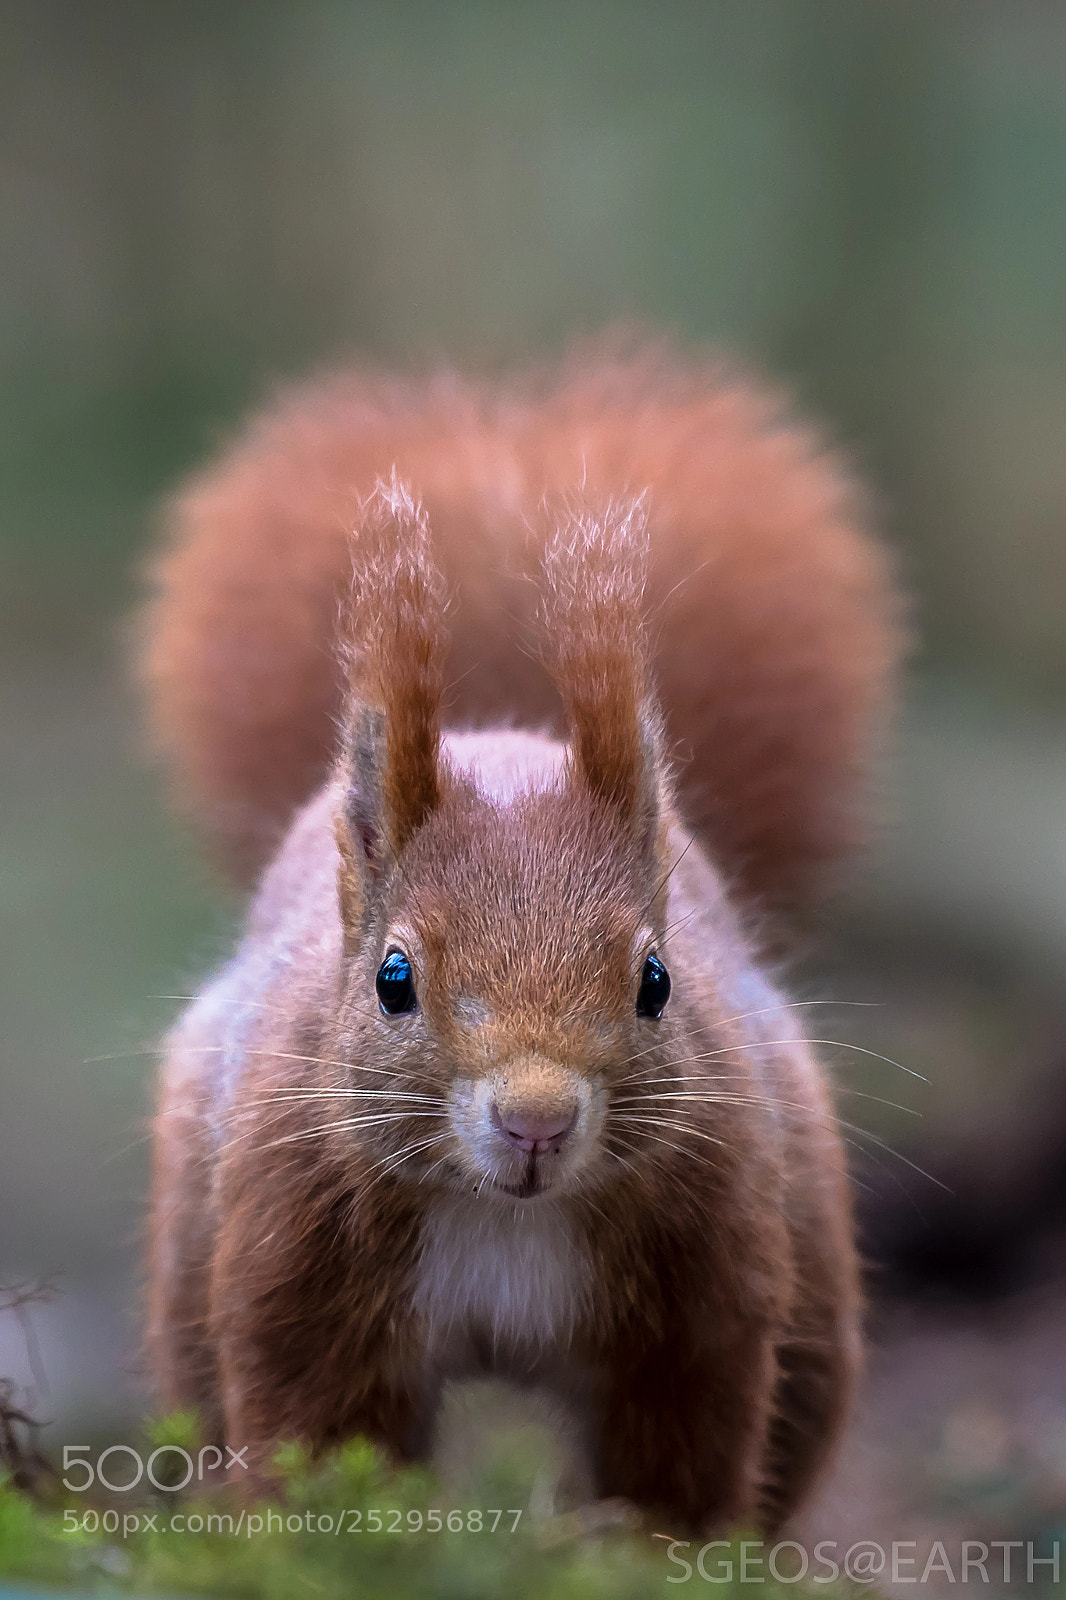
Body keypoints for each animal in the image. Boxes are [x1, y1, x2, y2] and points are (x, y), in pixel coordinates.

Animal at [141, 341, 901, 1534]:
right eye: (392, 980)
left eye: (656, 980)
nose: (536, 1120)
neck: (501, 1220)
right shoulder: (295, 1273)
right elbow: (315, 1439)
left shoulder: (702, 1298)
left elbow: (681, 1466)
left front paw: (647, 1551)